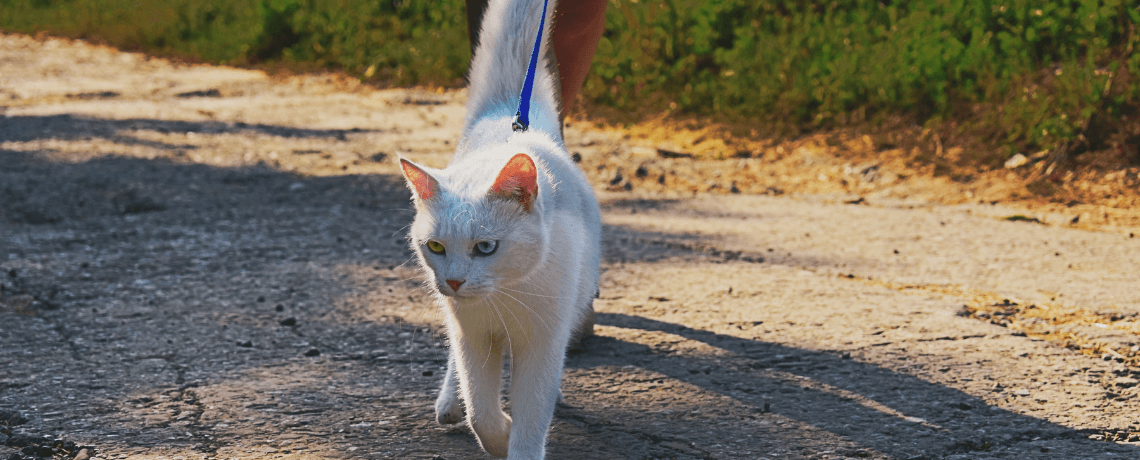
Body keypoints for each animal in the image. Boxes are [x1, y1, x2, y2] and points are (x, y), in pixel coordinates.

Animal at [396, 0, 601, 455]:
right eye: (435, 247)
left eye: (486, 247)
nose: (454, 281)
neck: (505, 296)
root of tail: (508, 118)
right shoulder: (474, 336)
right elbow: (481, 408)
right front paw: (499, 434)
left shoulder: (542, 343)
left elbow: (532, 414)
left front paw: (518, 443)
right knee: (458, 368)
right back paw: (449, 401)